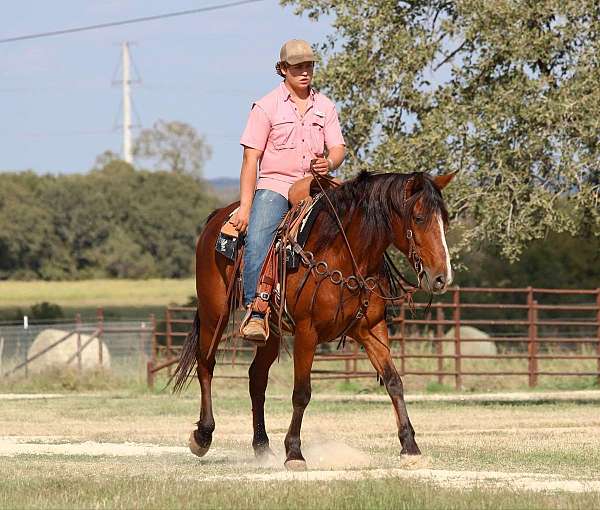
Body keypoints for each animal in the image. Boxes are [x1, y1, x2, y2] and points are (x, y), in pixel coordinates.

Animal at [173, 171, 454, 470]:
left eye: (445, 220)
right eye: (419, 218)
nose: (442, 277)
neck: (343, 252)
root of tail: (218, 216)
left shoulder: (371, 329)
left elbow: (394, 382)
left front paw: (410, 447)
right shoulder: (307, 333)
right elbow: (302, 393)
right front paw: (294, 452)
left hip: (271, 331)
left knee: (256, 378)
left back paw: (262, 446)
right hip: (214, 313)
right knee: (206, 365)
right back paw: (203, 436)